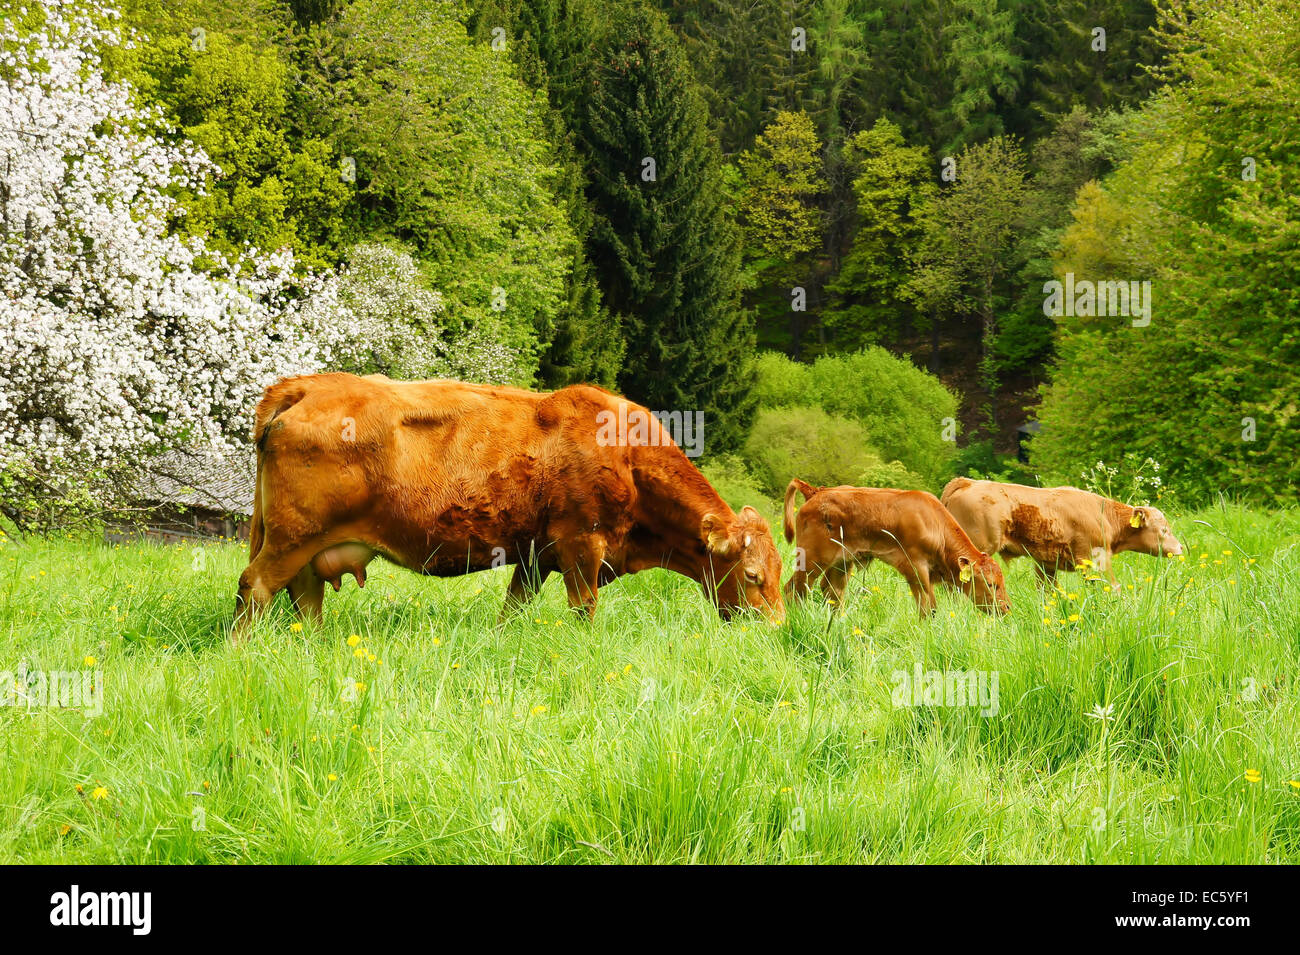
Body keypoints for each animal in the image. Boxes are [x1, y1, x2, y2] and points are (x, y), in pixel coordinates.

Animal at [233, 373, 784, 638]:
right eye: (753, 576)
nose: (779, 630)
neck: (627, 456)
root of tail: (305, 385)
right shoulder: (582, 545)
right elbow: (584, 611)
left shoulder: (535, 556)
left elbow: (513, 609)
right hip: (291, 537)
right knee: (256, 587)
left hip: (307, 546)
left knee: (305, 597)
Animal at [782, 478, 1009, 619]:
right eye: (991, 584)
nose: (1007, 606)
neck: (934, 523)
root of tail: (816, 491)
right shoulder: (916, 569)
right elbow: (928, 608)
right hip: (812, 560)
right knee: (795, 589)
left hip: (842, 563)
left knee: (833, 593)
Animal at [939, 477, 1184, 590]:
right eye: (1164, 529)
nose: (1180, 547)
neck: (1103, 514)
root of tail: (966, 482)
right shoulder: (1095, 558)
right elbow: (1112, 587)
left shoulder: (1046, 564)